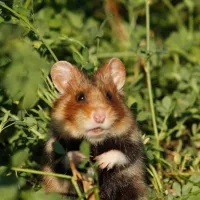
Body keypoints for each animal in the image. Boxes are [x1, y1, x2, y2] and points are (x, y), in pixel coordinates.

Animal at [42, 57, 148, 199]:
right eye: (80, 97)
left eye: (109, 95)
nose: (100, 116)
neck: (94, 142)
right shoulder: (53, 147)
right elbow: (63, 158)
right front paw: (82, 157)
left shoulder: (133, 141)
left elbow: (124, 153)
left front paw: (102, 161)